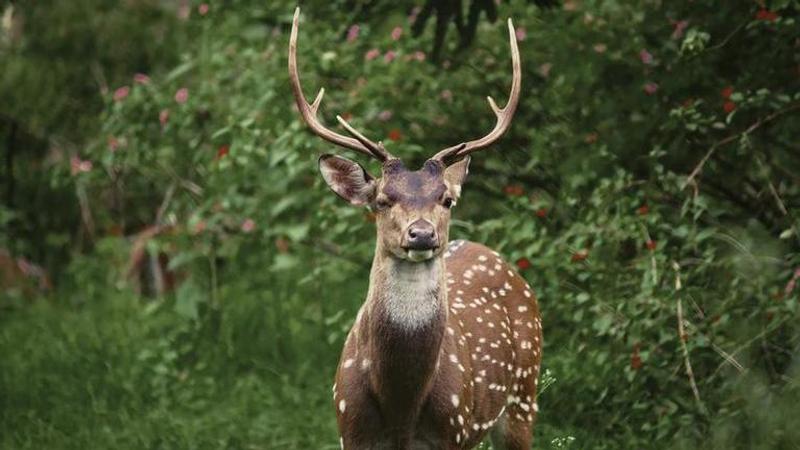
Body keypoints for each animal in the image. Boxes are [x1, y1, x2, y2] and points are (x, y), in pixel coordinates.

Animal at [288, 7, 544, 450]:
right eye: (382, 199)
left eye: (447, 199)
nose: (422, 234)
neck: (401, 407)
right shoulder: (349, 428)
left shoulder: (453, 428)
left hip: (524, 395)